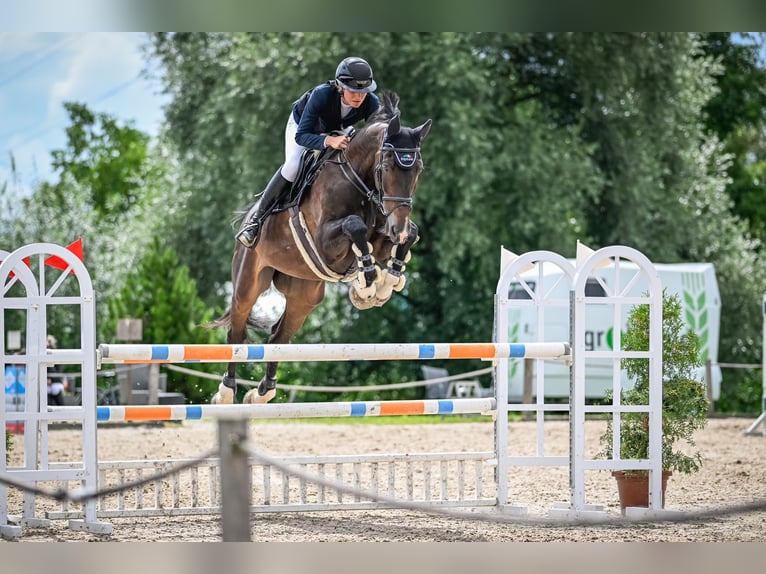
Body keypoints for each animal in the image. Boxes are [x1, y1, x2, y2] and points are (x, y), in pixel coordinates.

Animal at [210, 91, 432, 404]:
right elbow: (354, 226)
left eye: (418, 170)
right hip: (248, 283)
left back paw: (263, 393)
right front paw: (366, 285)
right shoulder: (326, 244)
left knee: (279, 337)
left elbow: (408, 236)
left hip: (305, 295)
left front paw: (384, 284)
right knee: (237, 331)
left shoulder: (382, 237)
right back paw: (227, 391)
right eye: (387, 166)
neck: (358, 179)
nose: (397, 226)